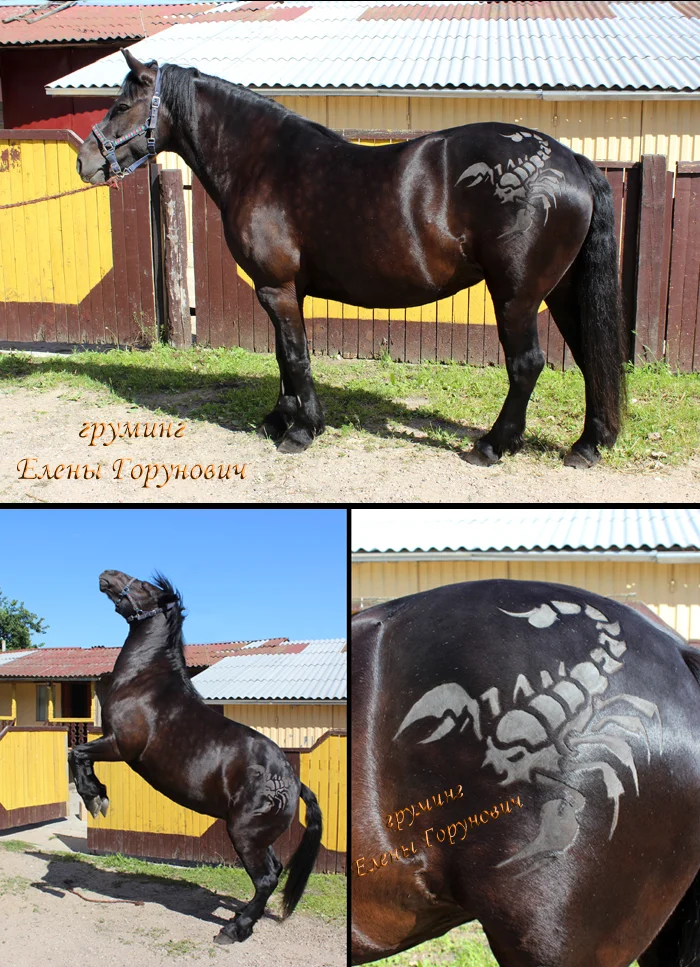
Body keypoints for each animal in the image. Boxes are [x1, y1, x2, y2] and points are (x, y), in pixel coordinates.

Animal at [68, 570, 322, 944]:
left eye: (143, 586)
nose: (108, 575)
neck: (146, 682)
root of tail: (292, 782)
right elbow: (80, 756)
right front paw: (97, 795)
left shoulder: (120, 747)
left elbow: (77, 754)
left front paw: (94, 797)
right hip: (259, 837)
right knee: (274, 872)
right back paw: (240, 920)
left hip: (244, 835)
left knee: (265, 879)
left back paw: (234, 930)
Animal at [76, 49, 626, 469]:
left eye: (122, 105)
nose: (85, 162)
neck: (262, 163)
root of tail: (570, 161)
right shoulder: (287, 290)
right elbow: (284, 356)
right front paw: (281, 418)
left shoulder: (275, 287)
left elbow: (296, 356)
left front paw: (302, 431)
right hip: (562, 291)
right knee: (588, 356)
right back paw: (588, 445)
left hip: (516, 295)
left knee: (527, 364)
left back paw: (492, 445)